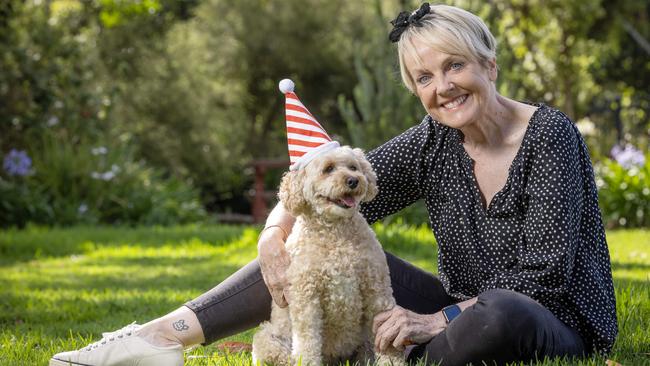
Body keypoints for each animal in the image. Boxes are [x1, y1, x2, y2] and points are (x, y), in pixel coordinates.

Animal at [251, 147, 402, 366]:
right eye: (328, 169)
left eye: (353, 167)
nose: (353, 180)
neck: (335, 232)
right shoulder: (306, 298)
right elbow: (308, 341)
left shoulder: (376, 288)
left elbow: (386, 332)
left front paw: (392, 362)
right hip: (267, 339)